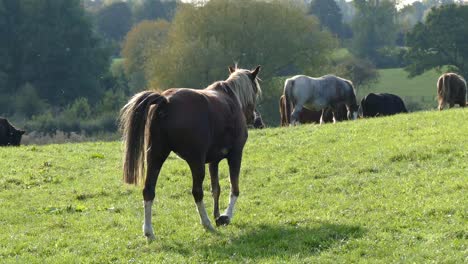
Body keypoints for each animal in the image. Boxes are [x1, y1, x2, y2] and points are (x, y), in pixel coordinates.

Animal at [119, 65, 262, 239]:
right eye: (255, 90)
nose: (254, 118)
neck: (231, 99)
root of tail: (166, 102)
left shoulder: (213, 161)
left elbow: (216, 189)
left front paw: (218, 216)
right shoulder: (235, 154)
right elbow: (234, 189)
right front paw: (226, 216)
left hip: (156, 156)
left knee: (148, 190)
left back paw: (149, 231)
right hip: (195, 162)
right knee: (197, 192)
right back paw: (206, 223)